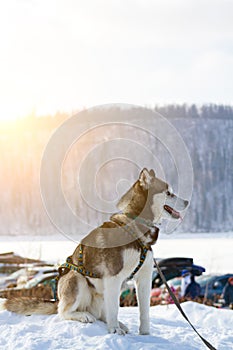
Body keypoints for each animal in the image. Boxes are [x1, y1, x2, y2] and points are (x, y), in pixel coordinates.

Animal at [0, 170, 187, 336]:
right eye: (169, 193)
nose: (186, 202)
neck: (135, 228)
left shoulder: (144, 277)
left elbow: (144, 311)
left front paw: (145, 334)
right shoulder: (113, 277)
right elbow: (115, 308)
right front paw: (114, 330)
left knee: (102, 314)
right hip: (77, 279)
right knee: (64, 312)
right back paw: (84, 316)